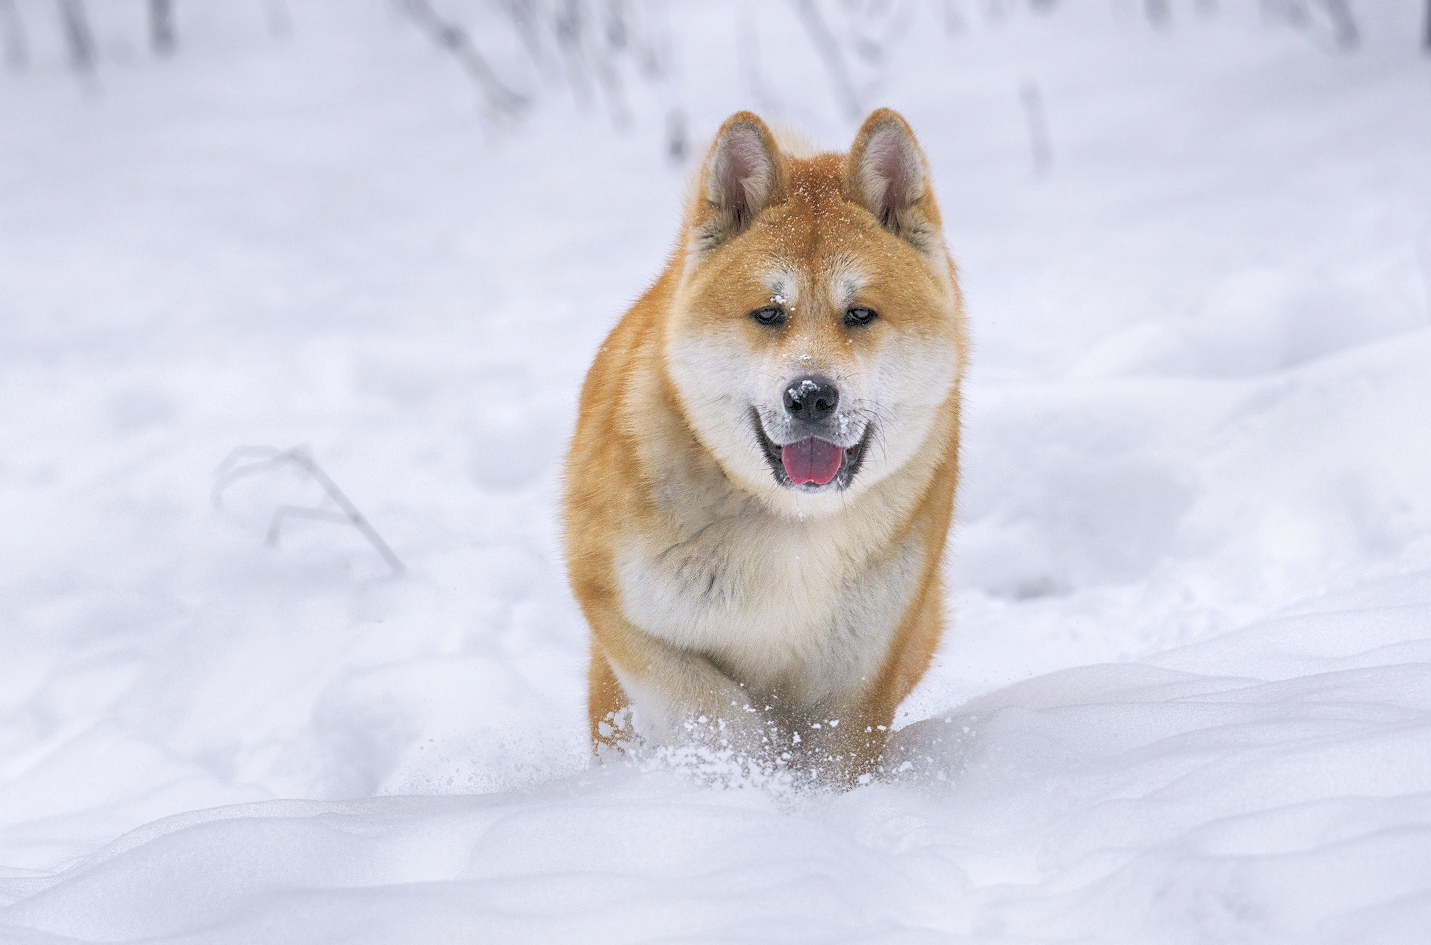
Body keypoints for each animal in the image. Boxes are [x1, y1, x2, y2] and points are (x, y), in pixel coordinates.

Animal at [563, 107, 967, 778]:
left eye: (860, 315)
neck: (792, 526)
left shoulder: (863, 675)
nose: (810, 395)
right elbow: (717, 712)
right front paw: (751, 779)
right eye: (769, 314)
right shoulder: (626, 615)